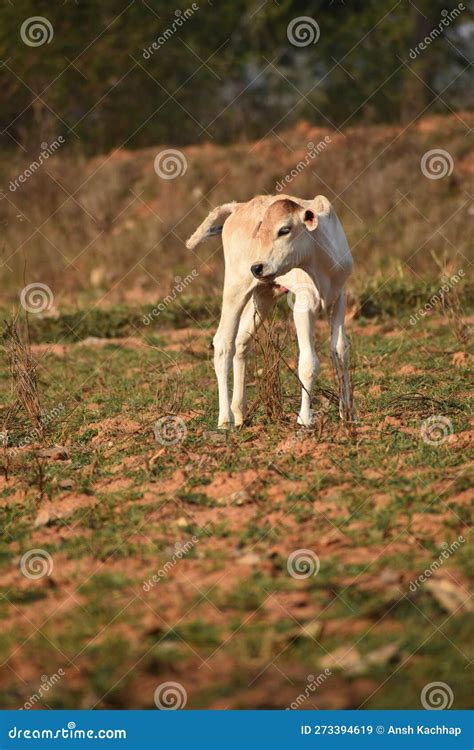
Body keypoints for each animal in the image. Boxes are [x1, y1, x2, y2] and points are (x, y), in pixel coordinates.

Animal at [187, 194, 354, 428]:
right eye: (261, 230)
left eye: (284, 229)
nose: (257, 267)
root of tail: (238, 207)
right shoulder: (303, 305)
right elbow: (308, 363)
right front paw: (304, 419)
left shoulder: (338, 300)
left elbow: (340, 352)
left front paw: (347, 413)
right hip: (236, 287)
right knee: (223, 343)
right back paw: (225, 419)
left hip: (263, 295)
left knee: (242, 341)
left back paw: (240, 413)